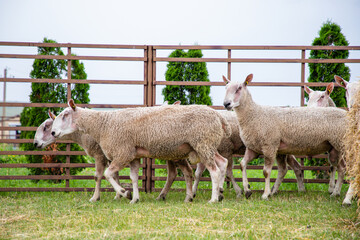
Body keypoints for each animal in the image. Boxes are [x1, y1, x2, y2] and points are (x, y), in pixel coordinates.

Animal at [50, 99, 231, 202]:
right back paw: (216, 193)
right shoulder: (133, 155)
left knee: (214, 171)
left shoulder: (123, 152)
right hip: (206, 146)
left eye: (65, 114)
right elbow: (134, 177)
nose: (52, 132)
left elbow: (108, 174)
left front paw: (125, 193)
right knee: (223, 163)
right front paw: (134, 198)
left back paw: (213, 199)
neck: (103, 124)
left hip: (203, 143)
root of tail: (218, 116)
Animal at [224, 73, 348, 201]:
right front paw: (247, 190)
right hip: (333, 149)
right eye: (226, 88)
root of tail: (345, 113)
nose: (226, 104)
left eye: (239, 88)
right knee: (339, 168)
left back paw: (339, 194)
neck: (253, 115)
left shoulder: (269, 146)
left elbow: (266, 172)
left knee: (344, 168)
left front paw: (265, 194)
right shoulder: (253, 148)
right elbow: (242, 165)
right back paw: (335, 192)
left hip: (341, 144)